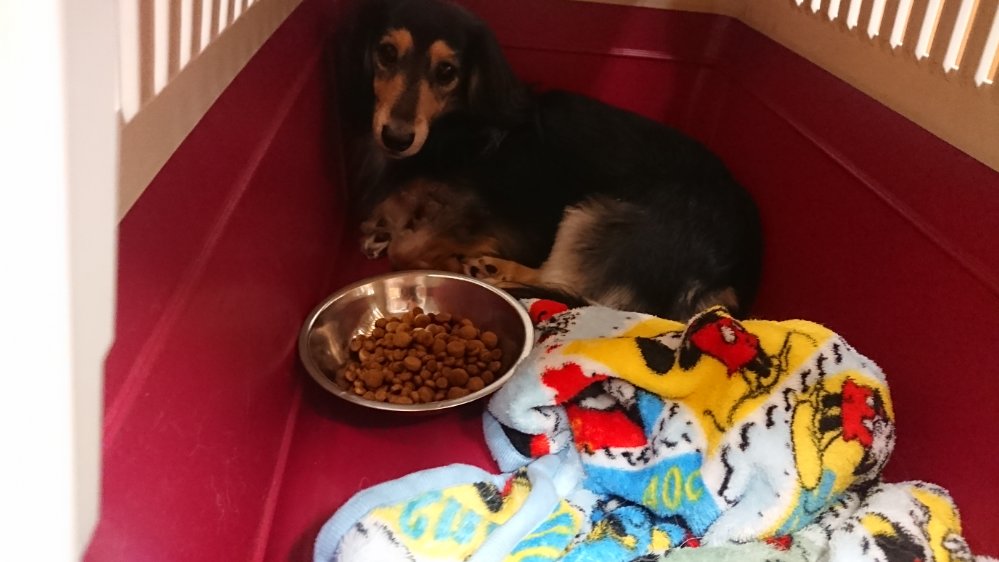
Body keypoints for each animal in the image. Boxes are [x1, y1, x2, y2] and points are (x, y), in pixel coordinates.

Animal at [334, 0, 763, 320]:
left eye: (446, 72)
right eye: (387, 53)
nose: (396, 138)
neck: (456, 126)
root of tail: (733, 273)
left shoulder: (496, 215)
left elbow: (406, 249)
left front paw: (427, 251)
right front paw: (382, 228)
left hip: (598, 216)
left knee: (569, 289)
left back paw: (488, 274)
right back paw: (491, 268)